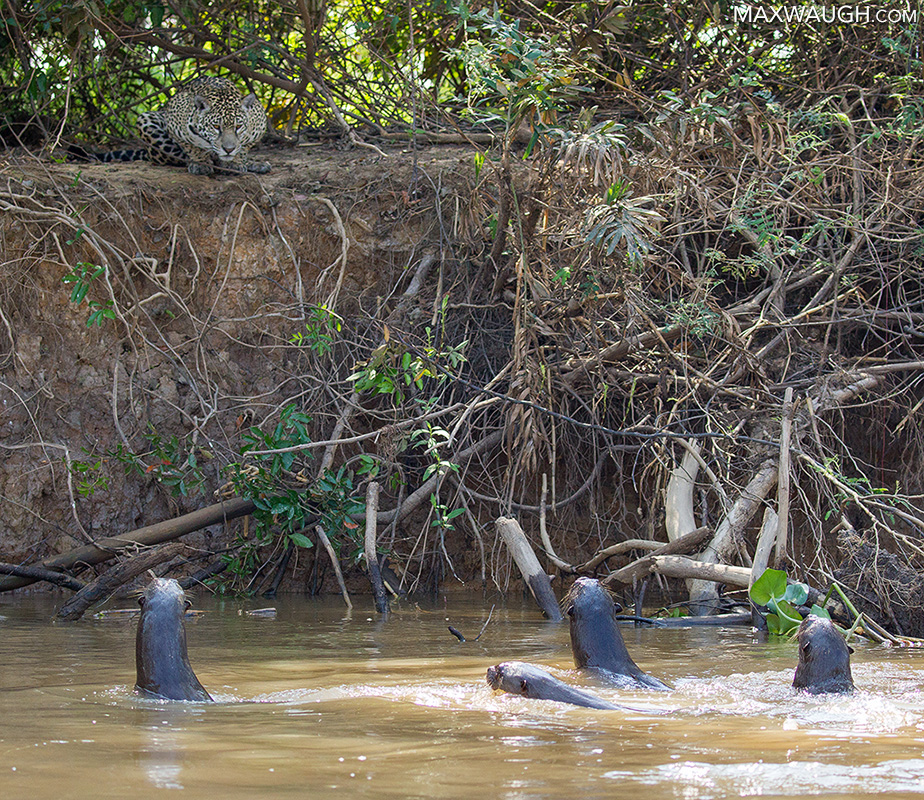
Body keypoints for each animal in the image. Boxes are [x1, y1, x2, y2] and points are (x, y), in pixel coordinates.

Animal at [70, 76, 270, 176]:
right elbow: (192, 146)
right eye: (215, 126)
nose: (228, 149)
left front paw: (237, 161)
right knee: (173, 156)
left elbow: (244, 147)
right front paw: (200, 162)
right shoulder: (175, 115)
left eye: (238, 126)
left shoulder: (259, 119)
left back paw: (255, 164)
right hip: (147, 121)